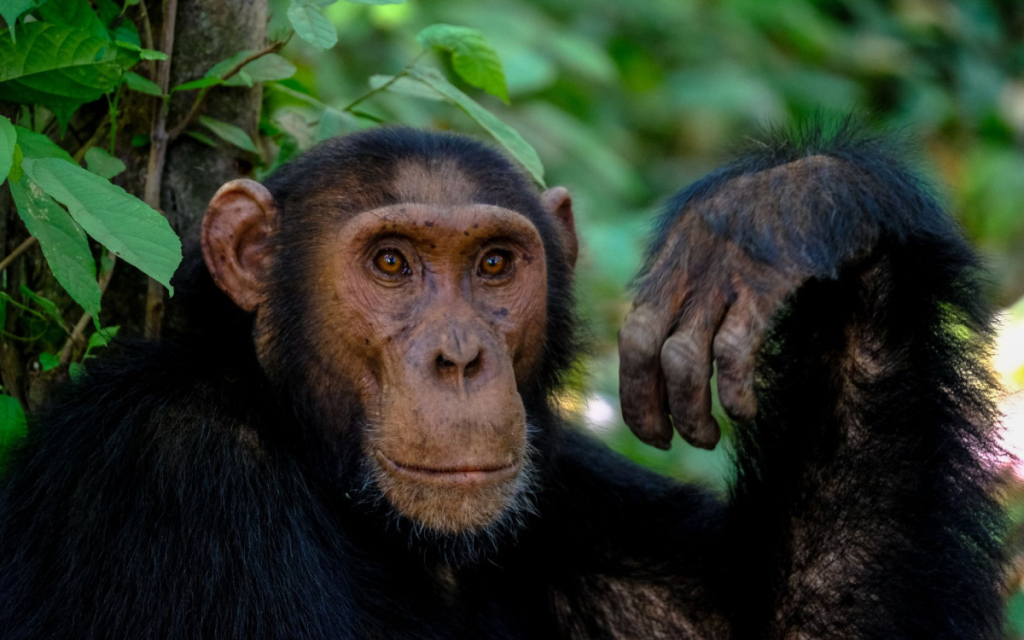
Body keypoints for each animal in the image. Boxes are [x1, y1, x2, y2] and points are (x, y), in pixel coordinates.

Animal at [0, 122, 1003, 634]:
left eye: (492, 266)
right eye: (393, 264)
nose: (460, 356)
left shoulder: (569, 497)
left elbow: (806, 624)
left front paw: (790, 209)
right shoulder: (180, 475)